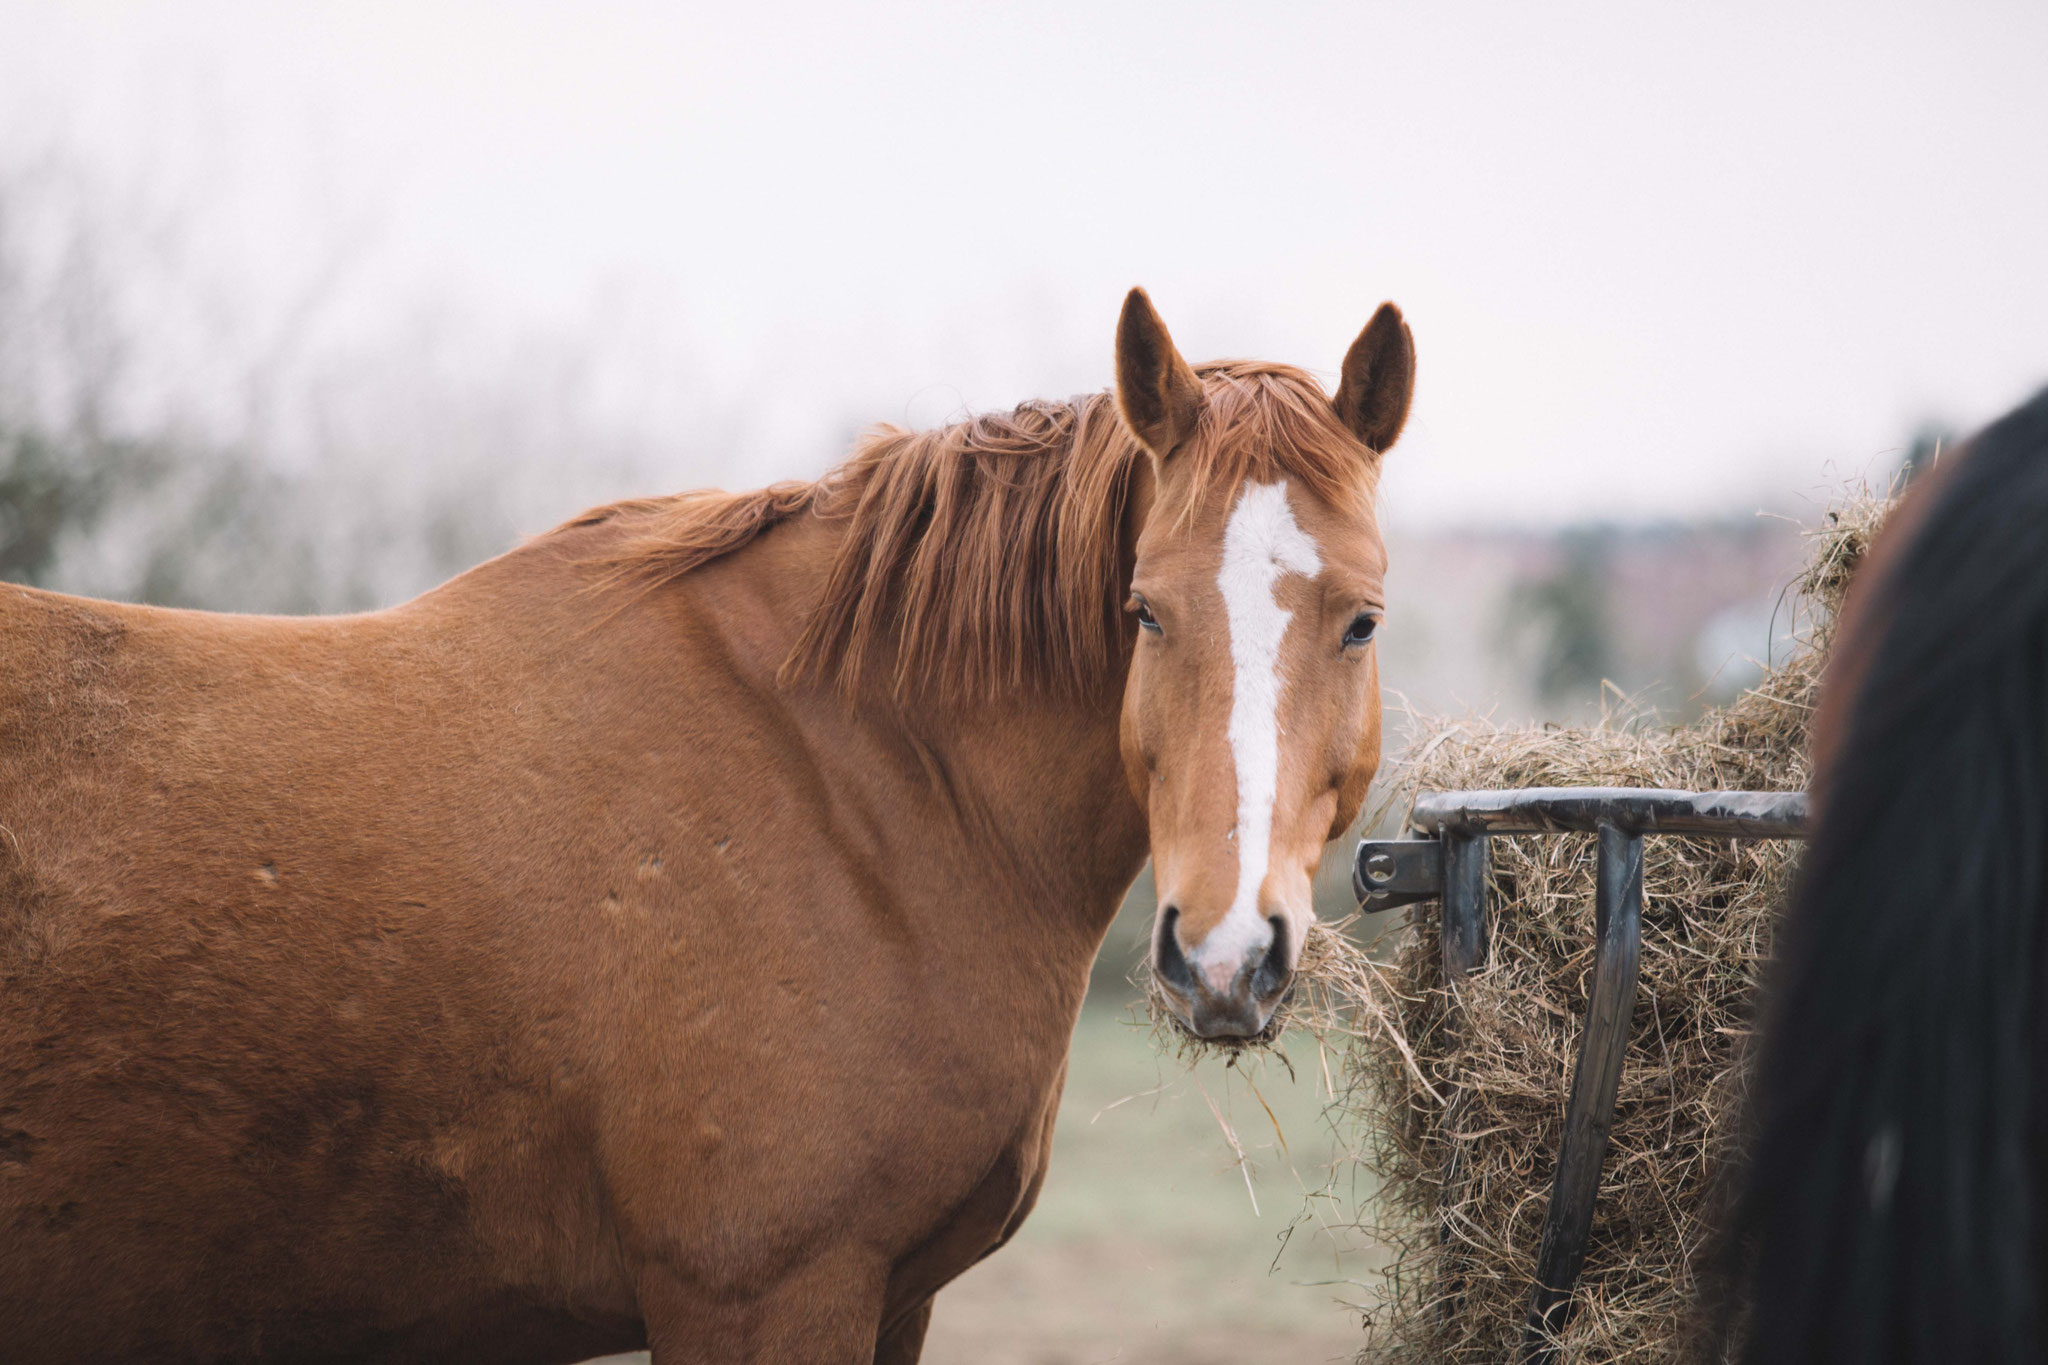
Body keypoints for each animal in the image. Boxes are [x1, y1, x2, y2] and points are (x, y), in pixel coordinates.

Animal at [0, 290, 1409, 1365]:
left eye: (1361, 620)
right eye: (1143, 611)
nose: (1224, 960)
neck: (853, 783)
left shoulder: (889, 1301)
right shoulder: (765, 1295)